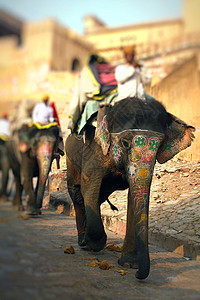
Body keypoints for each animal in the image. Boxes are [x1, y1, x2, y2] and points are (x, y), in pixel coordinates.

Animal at [65, 97, 195, 280]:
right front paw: (94, 244)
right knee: (77, 192)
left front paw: (129, 264)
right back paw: (83, 241)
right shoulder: (94, 150)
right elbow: (89, 184)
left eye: (159, 146)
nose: (138, 275)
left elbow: (134, 196)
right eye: (125, 143)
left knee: (99, 195)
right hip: (70, 156)